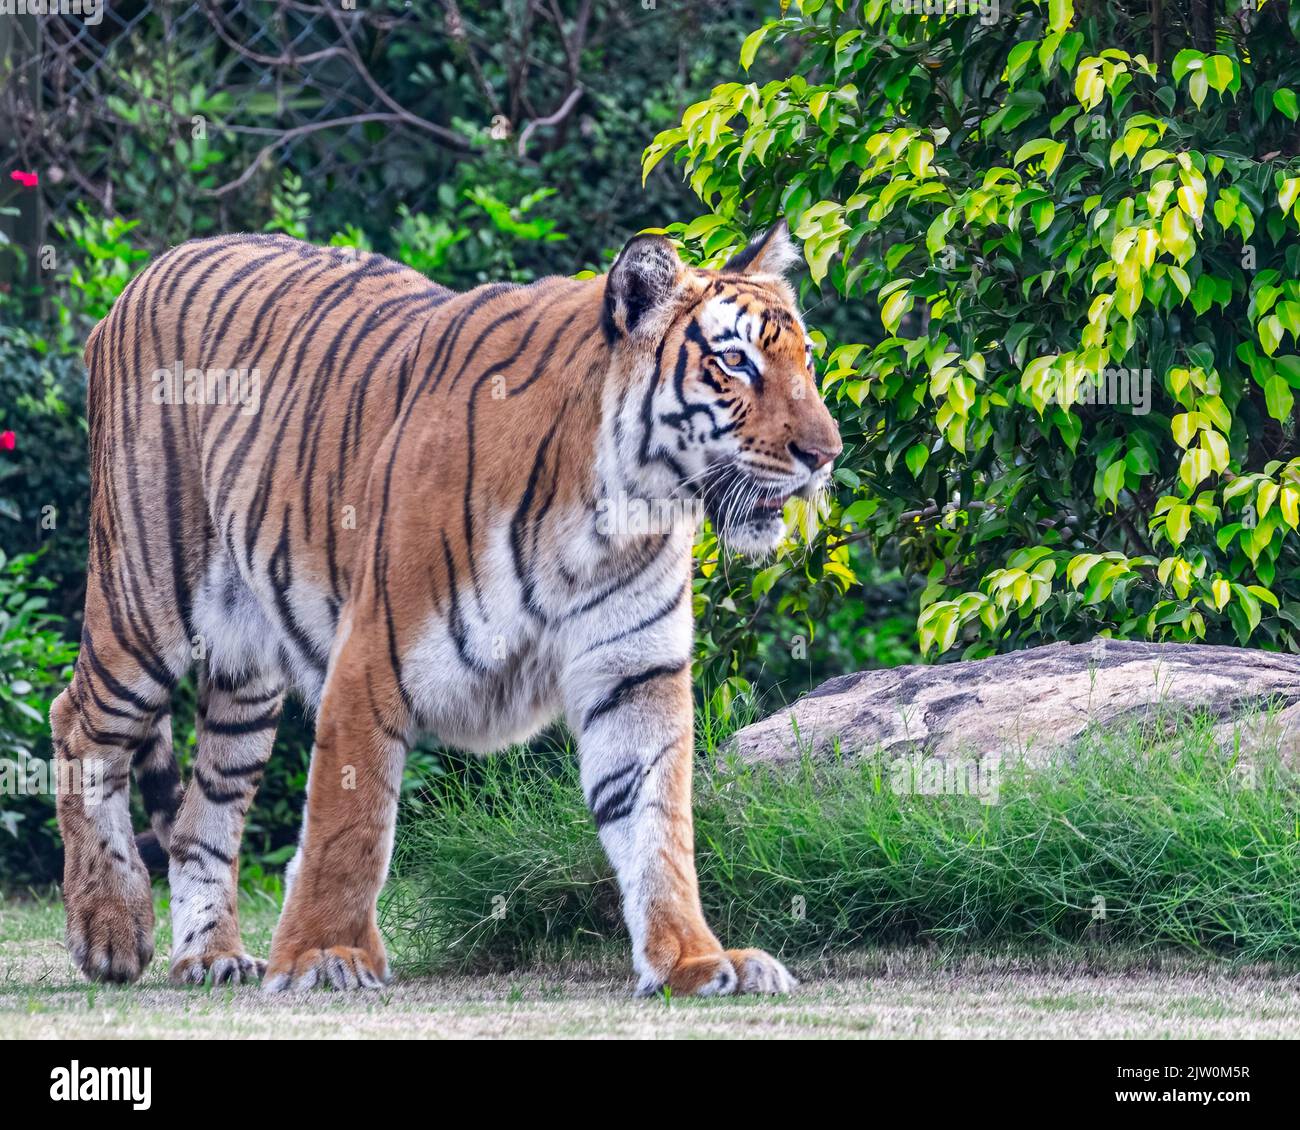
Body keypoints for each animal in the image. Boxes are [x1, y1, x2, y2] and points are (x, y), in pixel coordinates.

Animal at [49, 220, 842, 996]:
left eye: (806, 359)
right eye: (735, 363)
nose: (826, 454)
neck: (617, 515)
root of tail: (146, 273)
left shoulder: (635, 675)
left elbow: (658, 827)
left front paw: (695, 961)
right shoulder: (371, 658)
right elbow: (350, 824)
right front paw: (323, 956)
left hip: (246, 672)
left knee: (200, 815)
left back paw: (210, 956)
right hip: (145, 603)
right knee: (79, 723)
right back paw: (110, 931)